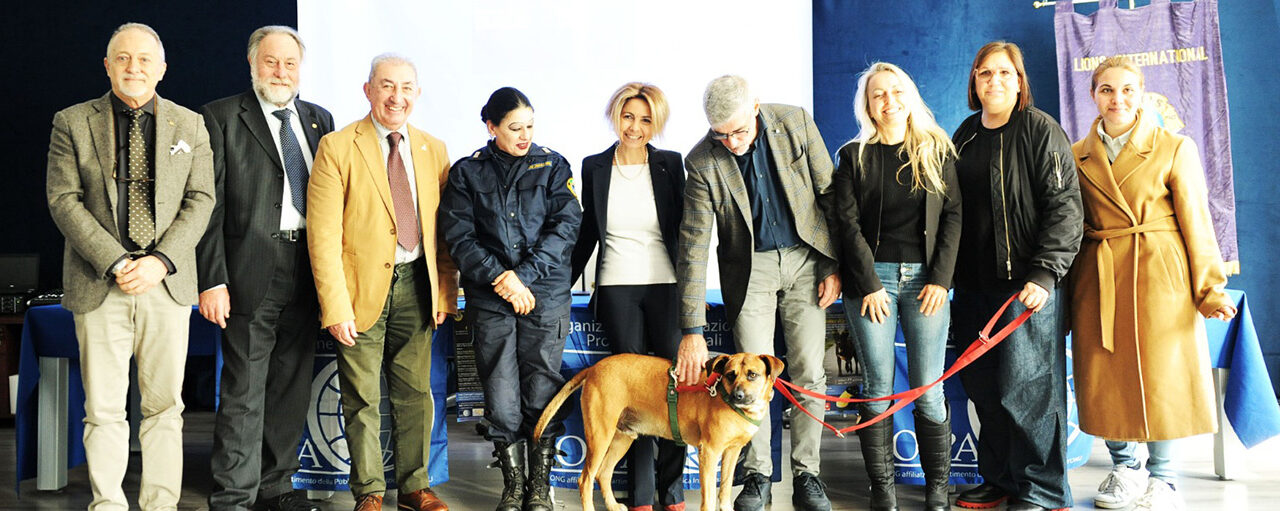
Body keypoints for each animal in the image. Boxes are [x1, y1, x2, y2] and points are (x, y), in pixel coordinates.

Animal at [527, 353, 778, 511]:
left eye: (752, 374)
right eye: (730, 374)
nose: (738, 396)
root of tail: (595, 367)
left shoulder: (732, 452)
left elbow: (724, 489)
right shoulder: (709, 452)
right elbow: (708, 497)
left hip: (623, 438)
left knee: (603, 474)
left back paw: (612, 505)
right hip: (599, 436)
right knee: (585, 479)